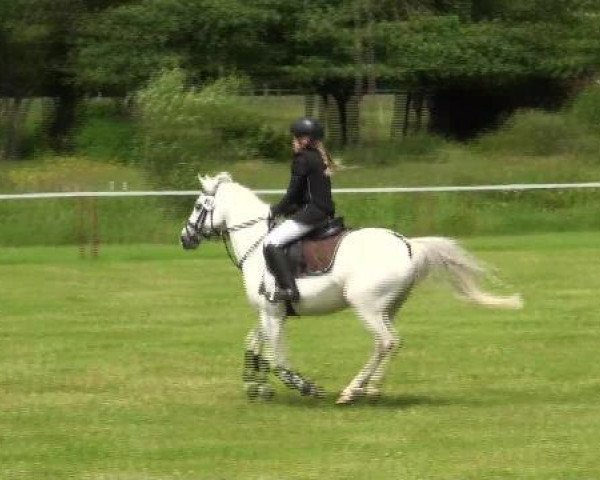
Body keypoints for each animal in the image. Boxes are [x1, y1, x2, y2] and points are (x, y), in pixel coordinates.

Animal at [179, 172, 520, 404]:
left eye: (198, 205)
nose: (185, 238)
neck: (256, 243)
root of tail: (408, 245)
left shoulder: (273, 313)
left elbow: (278, 360)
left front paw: (304, 386)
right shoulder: (270, 311)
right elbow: (253, 345)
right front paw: (255, 385)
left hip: (364, 304)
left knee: (386, 342)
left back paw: (361, 390)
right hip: (387, 307)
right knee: (388, 343)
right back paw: (360, 388)